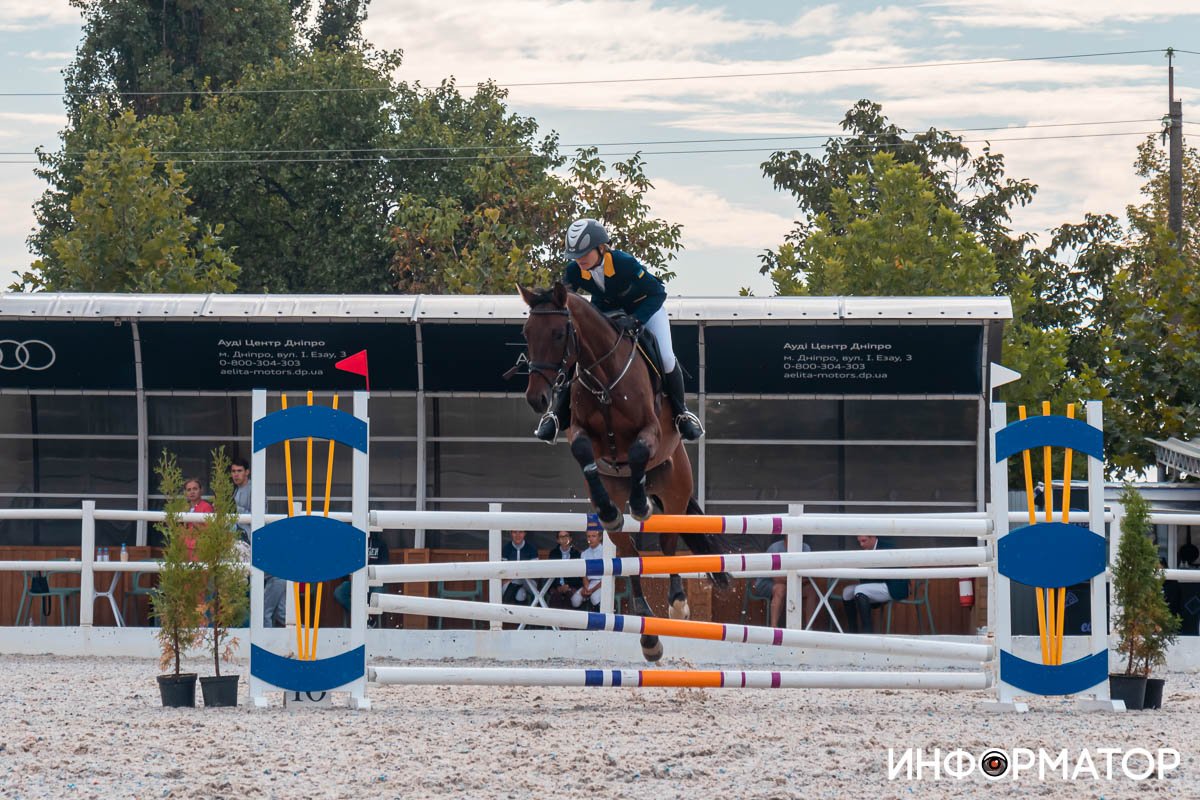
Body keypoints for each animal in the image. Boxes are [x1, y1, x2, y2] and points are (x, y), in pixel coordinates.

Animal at [517, 281, 729, 662]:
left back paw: (677, 602)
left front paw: (641, 503)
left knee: (668, 544)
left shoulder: (651, 431)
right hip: (620, 507)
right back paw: (648, 632)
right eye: (526, 333)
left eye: (558, 333)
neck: (604, 378)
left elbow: (639, 450)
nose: (536, 399)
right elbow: (583, 451)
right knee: (629, 555)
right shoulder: (581, 432)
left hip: (675, 490)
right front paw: (610, 510)